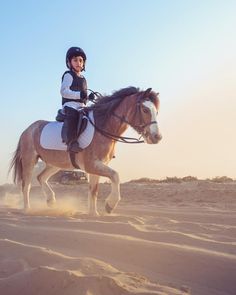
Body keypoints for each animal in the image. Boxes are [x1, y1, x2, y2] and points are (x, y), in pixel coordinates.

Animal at [9, 86, 162, 216]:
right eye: (145, 109)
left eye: (156, 111)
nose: (157, 137)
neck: (102, 128)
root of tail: (27, 130)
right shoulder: (91, 165)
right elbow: (115, 176)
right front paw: (110, 205)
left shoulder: (96, 166)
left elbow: (93, 190)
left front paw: (93, 214)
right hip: (29, 161)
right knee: (26, 185)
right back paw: (27, 209)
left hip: (55, 164)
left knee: (41, 177)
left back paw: (51, 200)